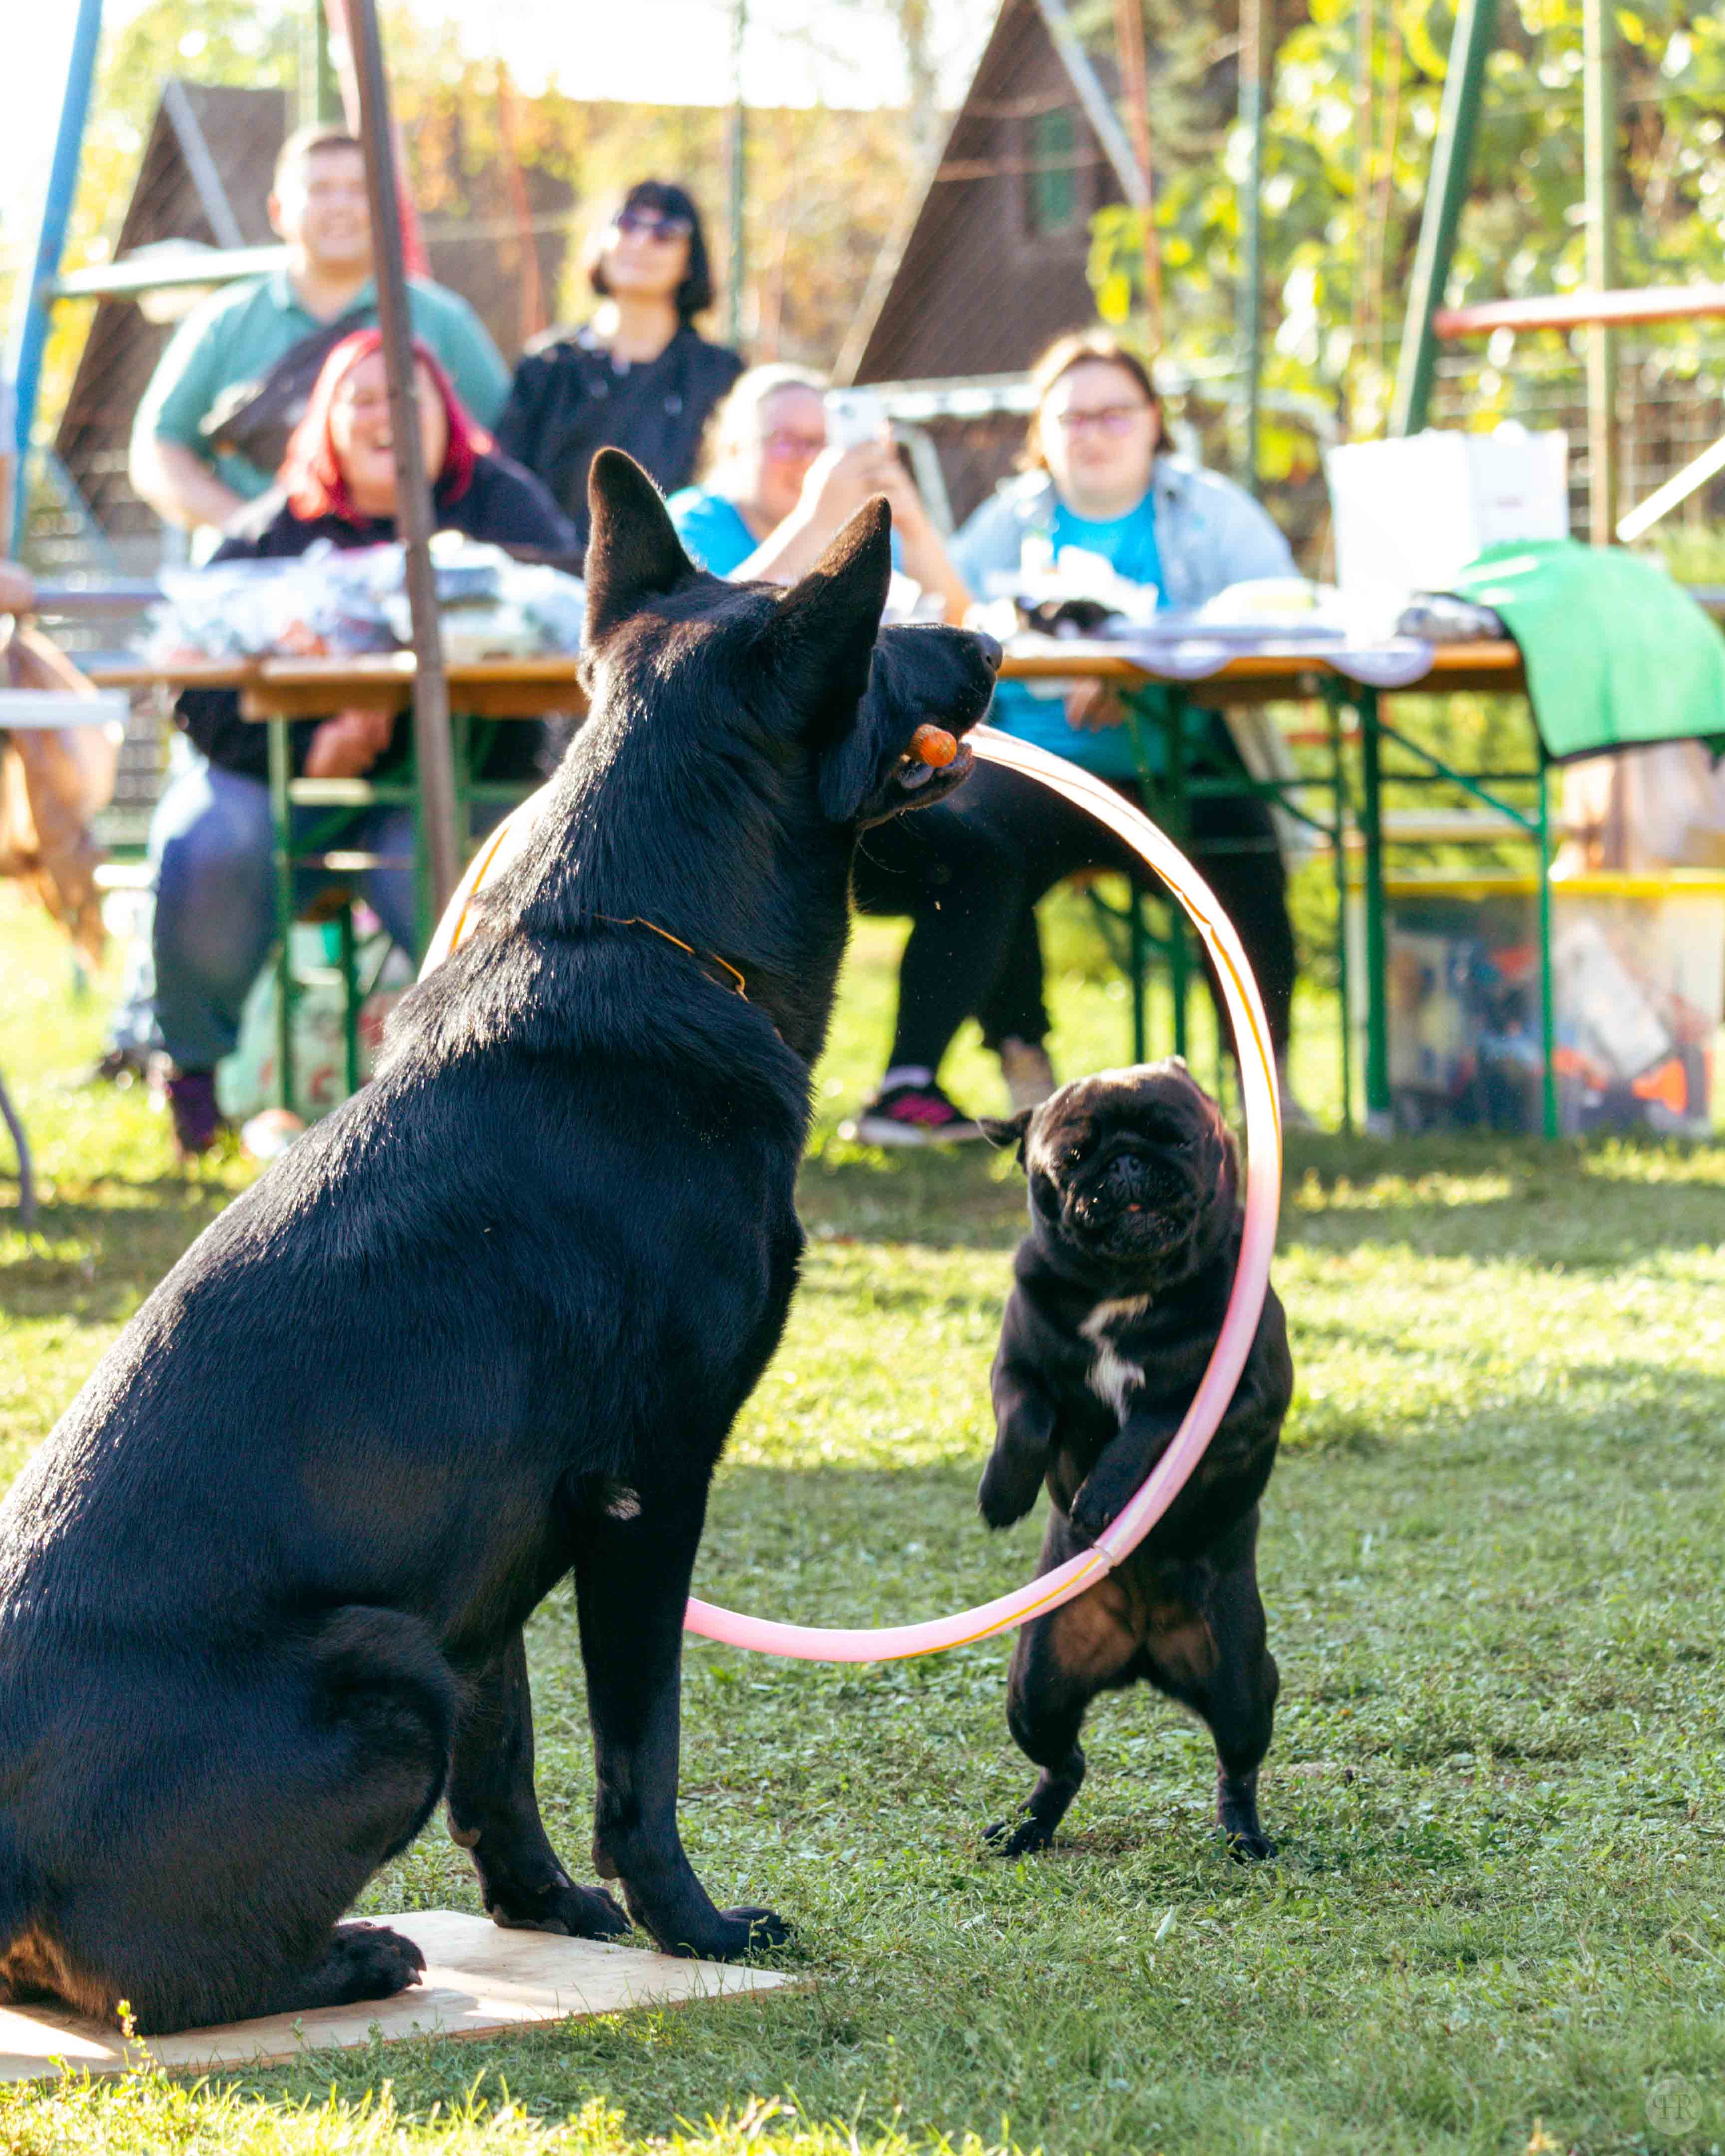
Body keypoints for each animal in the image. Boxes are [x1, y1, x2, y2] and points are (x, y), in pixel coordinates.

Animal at [0, 450, 1000, 2033]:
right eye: (885, 632)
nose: (997, 641)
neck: (648, 926)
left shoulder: (499, 1544)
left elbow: (508, 1749)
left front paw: (548, 1912)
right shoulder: (648, 1494)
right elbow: (636, 1755)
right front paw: (688, 1927)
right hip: (384, 1663)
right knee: (152, 1993)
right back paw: (348, 1958)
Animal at [976, 1060, 1291, 1860]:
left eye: (1174, 1136)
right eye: (1071, 1158)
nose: (1123, 1162)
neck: (1129, 1287)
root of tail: (1143, 1654)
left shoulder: (1241, 1396)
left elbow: (1154, 1422)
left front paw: (1102, 1497)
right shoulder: (1018, 1365)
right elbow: (1025, 1418)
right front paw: (1002, 1495)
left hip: (1241, 1683)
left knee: (1236, 1765)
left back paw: (1244, 1837)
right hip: (1038, 1684)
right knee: (1065, 1760)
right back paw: (1024, 1828)